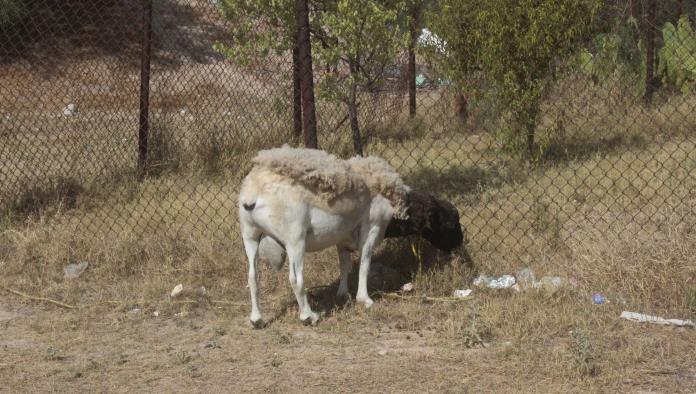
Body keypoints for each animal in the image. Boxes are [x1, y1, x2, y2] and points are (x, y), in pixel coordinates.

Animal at [238, 144, 462, 326]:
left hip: (250, 235)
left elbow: (344, 264)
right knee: (295, 279)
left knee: (252, 277)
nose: (459, 245)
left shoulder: (343, 236)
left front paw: (343, 293)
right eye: (450, 224)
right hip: (295, 238)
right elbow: (365, 263)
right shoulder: (372, 227)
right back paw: (308, 316)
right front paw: (365, 299)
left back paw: (257, 319)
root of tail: (254, 193)